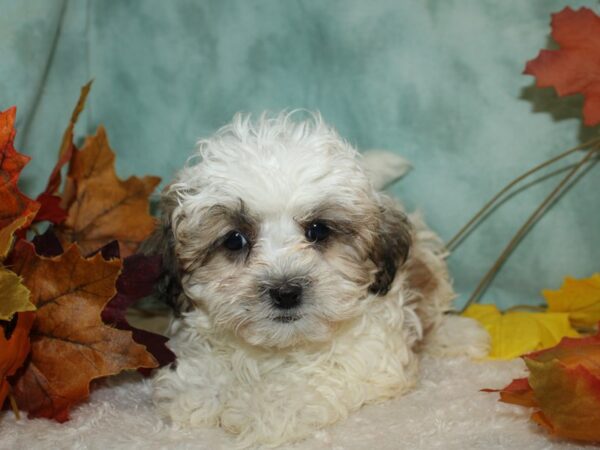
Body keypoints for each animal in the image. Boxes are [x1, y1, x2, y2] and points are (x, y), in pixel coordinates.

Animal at [144, 112, 488, 446]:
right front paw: (203, 391)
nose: (285, 292)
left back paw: (458, 333)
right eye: (234, 240)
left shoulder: (366, 359)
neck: (279, 349)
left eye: (319, 230)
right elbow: (202, 376)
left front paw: (264, 408)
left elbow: (307, 383)